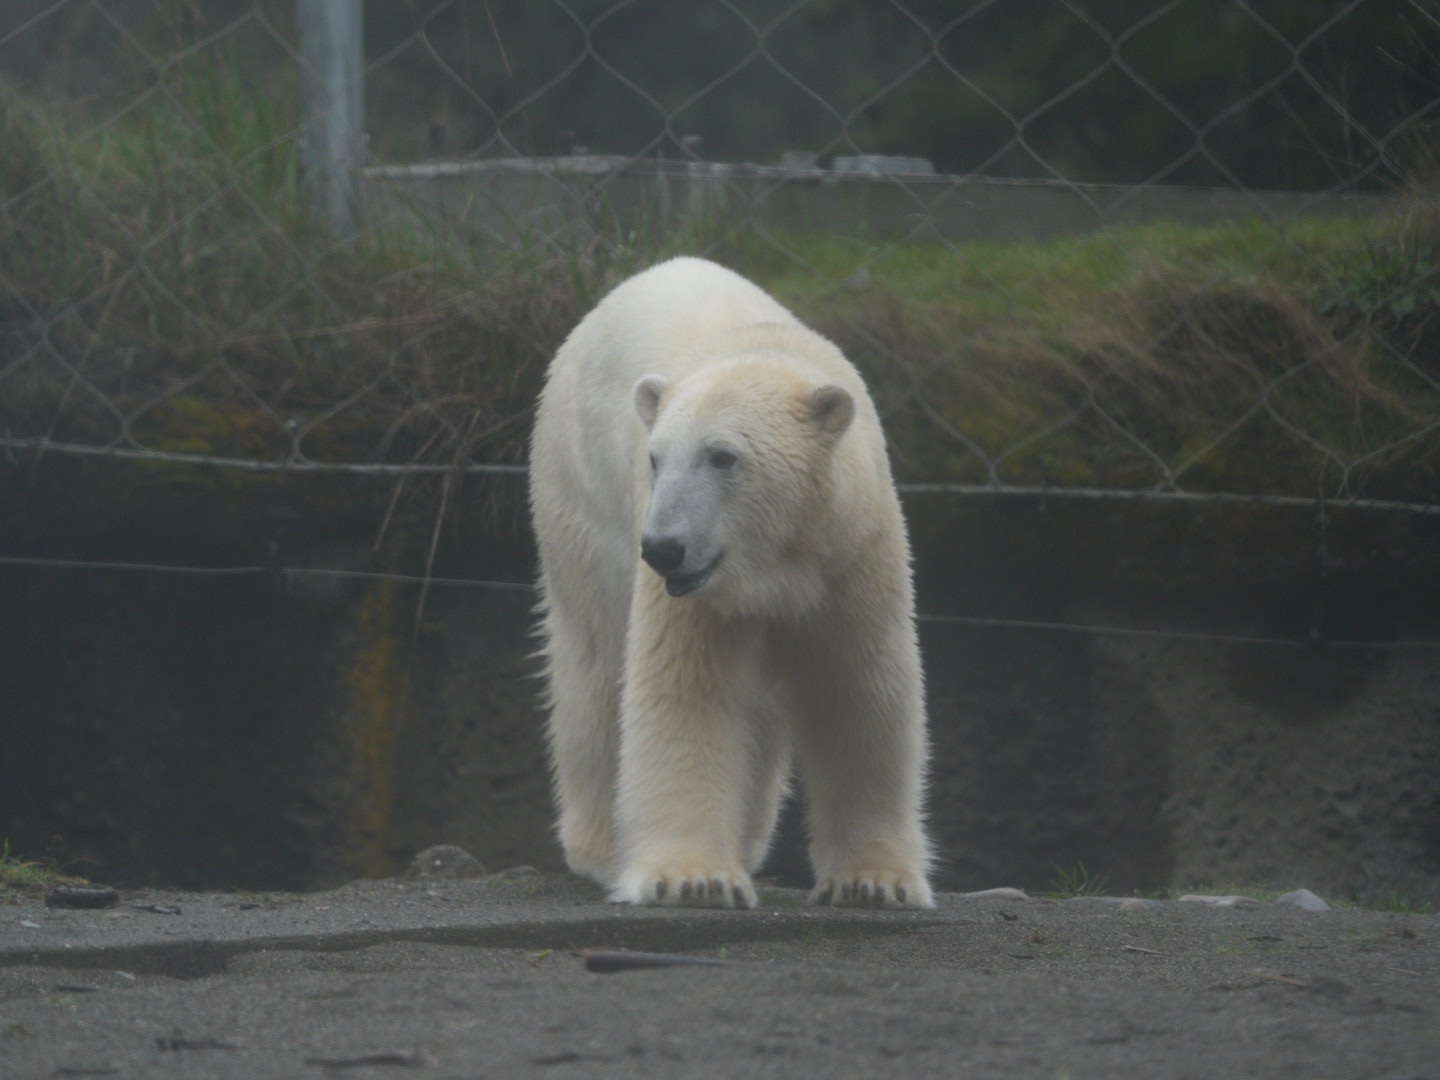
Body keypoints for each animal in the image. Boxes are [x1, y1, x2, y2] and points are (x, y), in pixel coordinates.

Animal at [529, 256, 933, 909]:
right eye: (656, 458)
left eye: (722, 456)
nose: (662, 548)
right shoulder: (695, 593)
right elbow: (689, 691)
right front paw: (692, 878)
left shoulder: (853, 551)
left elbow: (859, 692)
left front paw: (874, 882)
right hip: (579, 495)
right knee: (593, 663)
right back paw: (601, 848)